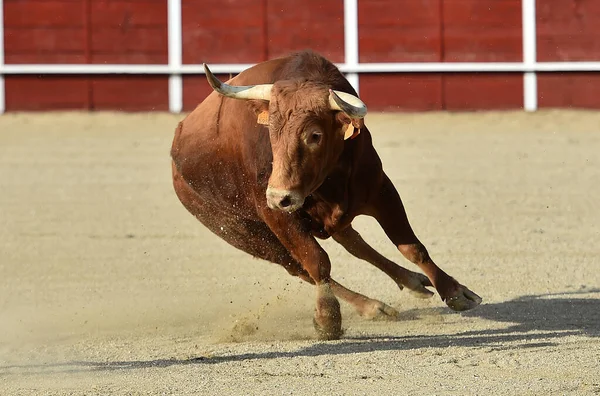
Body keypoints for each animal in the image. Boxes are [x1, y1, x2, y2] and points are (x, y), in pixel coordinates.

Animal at [171, 49, 480, 340]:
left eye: (315, 135)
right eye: (271, 131)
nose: (279, 197)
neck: (331, 177)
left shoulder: (381, 189)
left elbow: (412, 247)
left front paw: (455, 292)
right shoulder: (278, 216)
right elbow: (317, 261)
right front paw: (328, 319)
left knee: (352, 242)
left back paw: (411, 282)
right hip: (247, 235)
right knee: (298, 267)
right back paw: (371, 306)